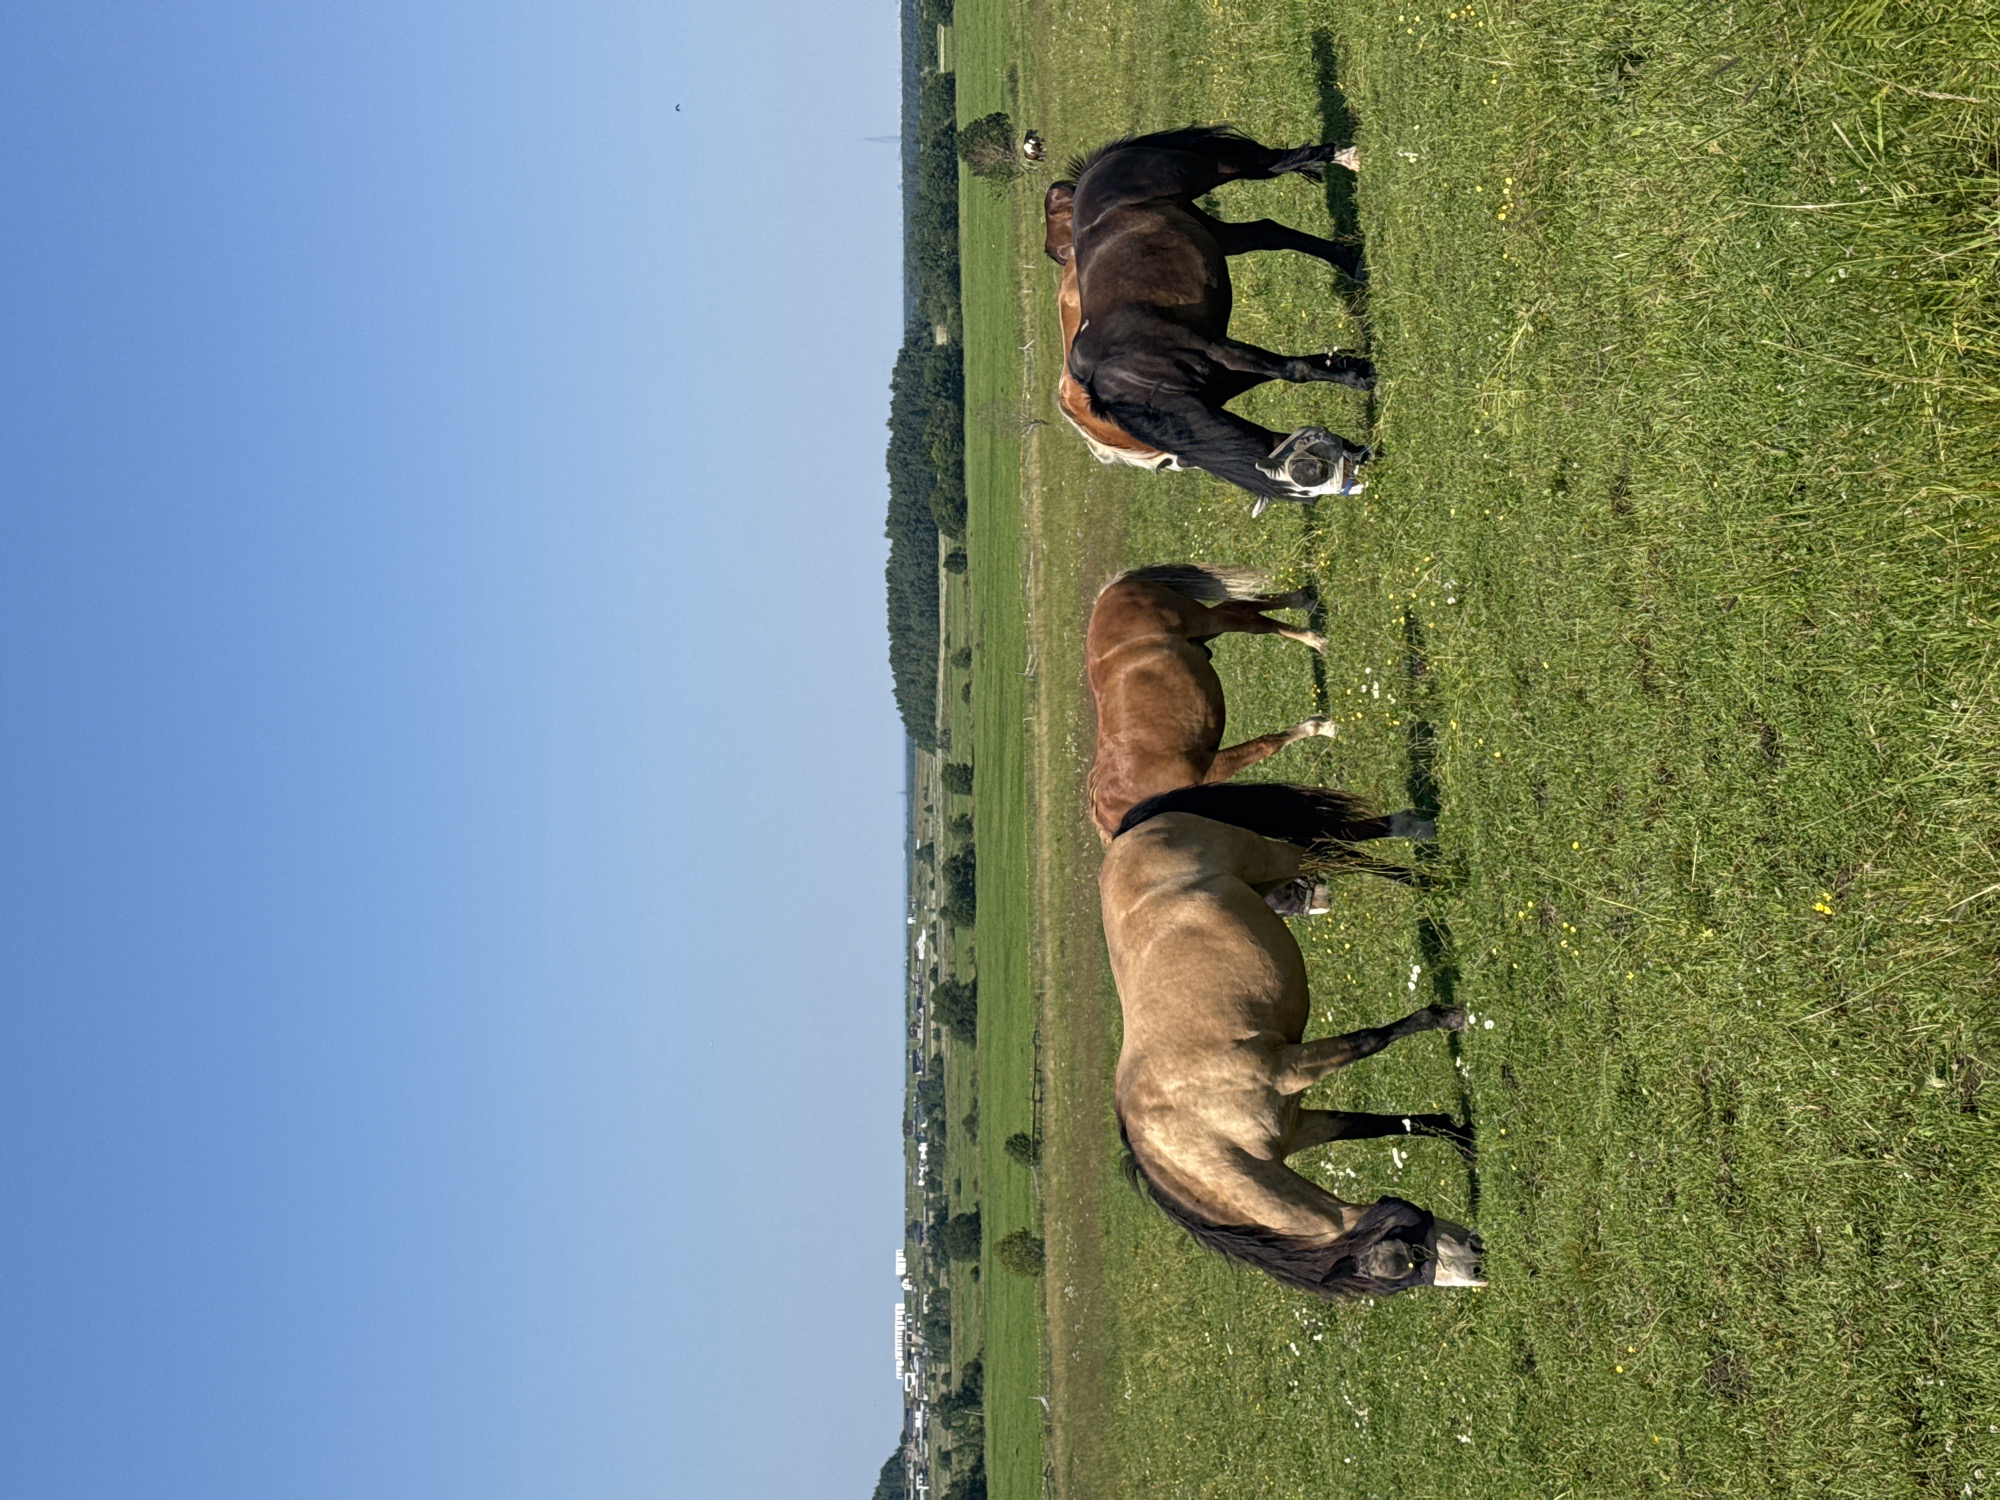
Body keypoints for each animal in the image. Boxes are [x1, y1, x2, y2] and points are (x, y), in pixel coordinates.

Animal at [1064, 126, 1375, 515]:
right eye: (1314, 479)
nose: (1362, 467)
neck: (1133, 375)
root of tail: (1093, 171)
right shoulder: (1230, 374)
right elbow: (1296, 367)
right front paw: (1354, 368)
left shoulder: (1221, 349)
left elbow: (1293, 370)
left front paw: (1359, 376)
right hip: (1209, 229)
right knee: (1268, 231)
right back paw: (1350, 259)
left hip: (1211, 170)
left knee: (1270, 165)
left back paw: (1346, 156)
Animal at [1086, 562, 1337, 849]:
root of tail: (1108, 593)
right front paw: (1319, 724)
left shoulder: (1211, 769)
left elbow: (1267, 745)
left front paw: (1323, 727)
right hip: (1203, 630)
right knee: (1243, 606)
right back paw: (1303, 601)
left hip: (1204, 619)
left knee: (1244, 615)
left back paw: (1316, 639)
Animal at [1101, 781, 1483, 1298]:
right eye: (1409, 1265)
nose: (1479, 1264)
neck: (1199, 1134)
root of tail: (1124, 838)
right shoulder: (1299, 1125)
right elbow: (1379, 1125)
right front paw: (1461, 1136)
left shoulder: (1291, 1067)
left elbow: (1370, 1040)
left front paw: (1450, 1017)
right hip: (1268, 883)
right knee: (1337, 845)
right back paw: (1420, 841)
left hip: (1268, 857)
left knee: (1335, 849)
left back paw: (1432, 874)